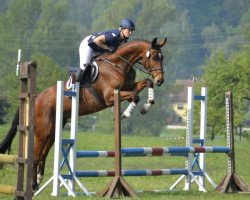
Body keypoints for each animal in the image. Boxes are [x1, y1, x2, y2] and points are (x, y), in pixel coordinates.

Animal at [0, 37, 168, 189]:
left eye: (162, 57)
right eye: (154, 57)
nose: (161, 80)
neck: (118, 65)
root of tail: (37, 97)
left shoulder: (129, 87)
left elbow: (146, 83)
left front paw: (147, 105)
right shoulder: (110, 97)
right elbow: (135, 96)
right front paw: (126, 113)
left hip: (53, 129)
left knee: (42, 154)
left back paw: (38, 181)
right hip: (44, 130)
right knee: (36, 155)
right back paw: (33, 184)